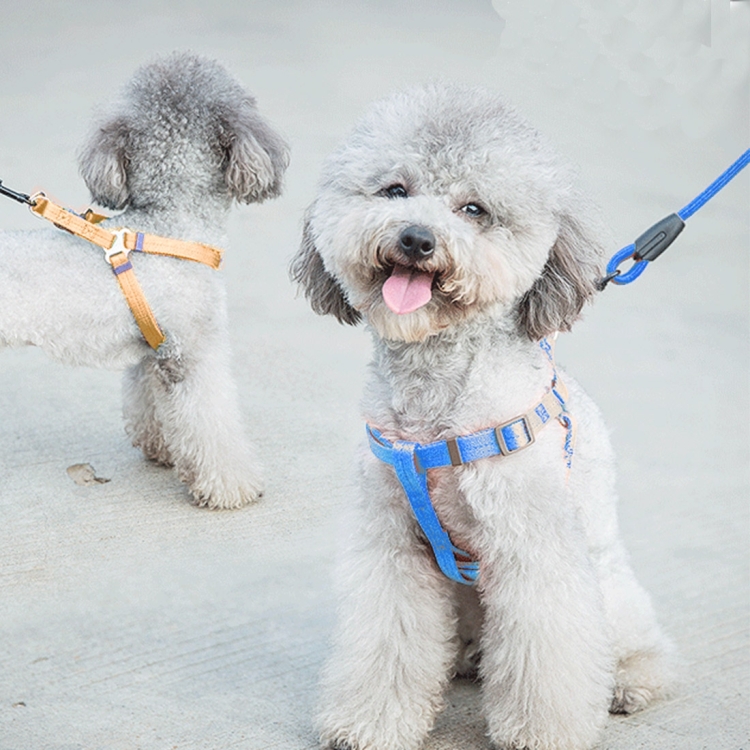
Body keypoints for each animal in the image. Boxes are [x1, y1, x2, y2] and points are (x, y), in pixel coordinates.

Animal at [0, 54, 290, 512]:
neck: (170, 224)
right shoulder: (191, 351)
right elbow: (211, 420)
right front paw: (230, 487)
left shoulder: (153, 351)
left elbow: (151, 402)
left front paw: (163, 449)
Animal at [292, 82, 676, 750]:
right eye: (395, 190)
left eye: (474, 209)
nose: (417, 239)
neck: (435, 404)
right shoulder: (393, 544)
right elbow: (386, 639)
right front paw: (371, 722)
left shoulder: (532, 547)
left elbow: (545, 652)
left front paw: (541, 731)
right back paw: (467, 659)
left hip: (602, 578)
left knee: (634, 640)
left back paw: (629, 680)